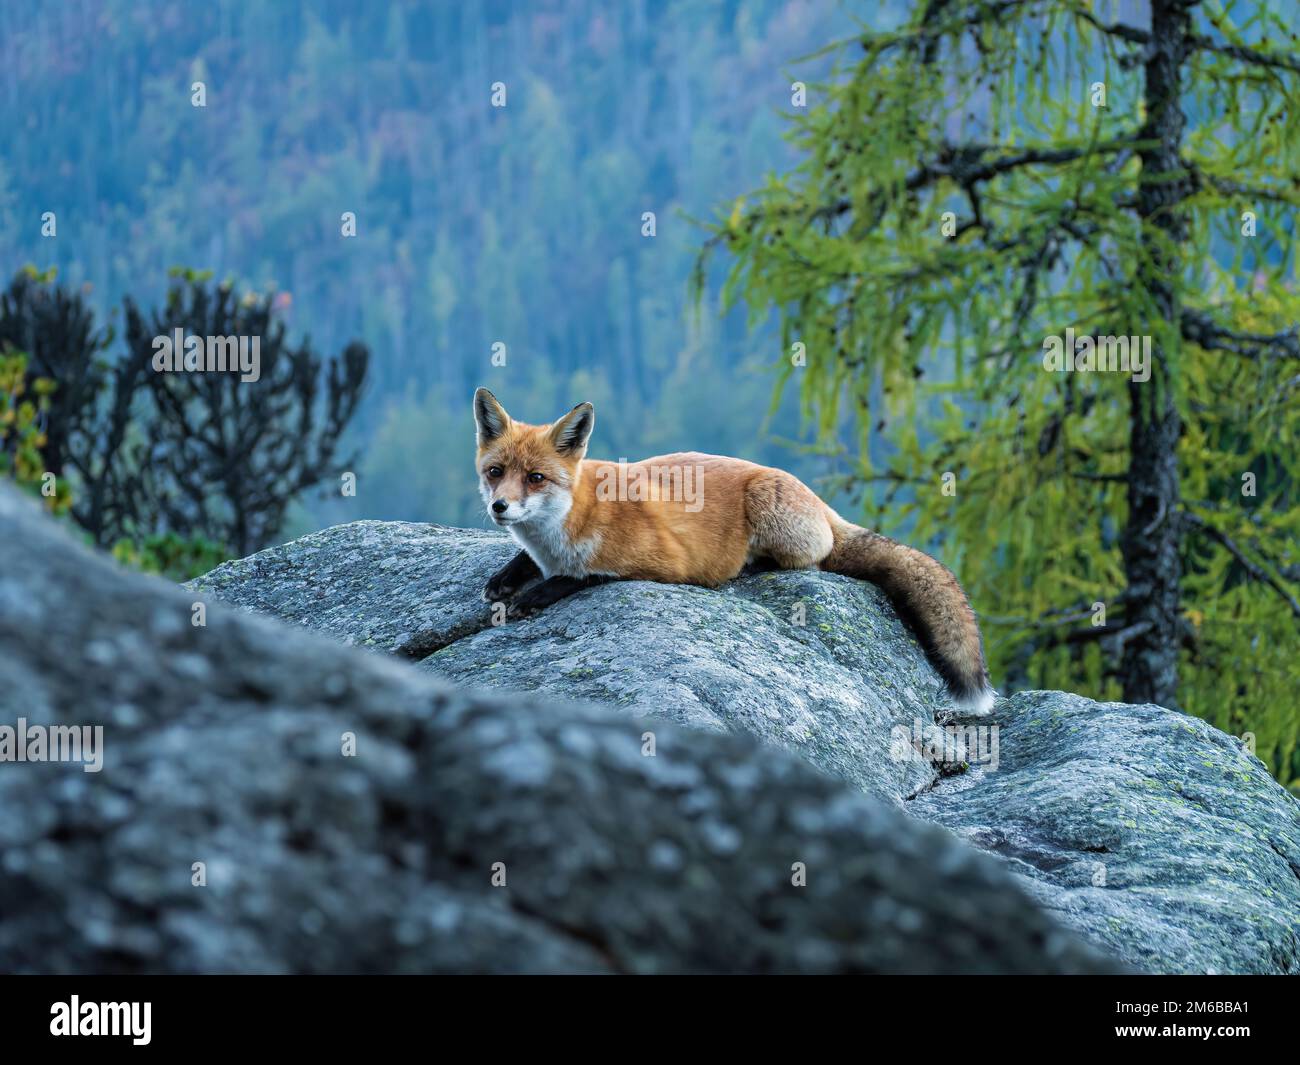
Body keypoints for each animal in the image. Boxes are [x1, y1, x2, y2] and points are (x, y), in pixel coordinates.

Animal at [478, 387, 993, 712]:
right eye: (495, 472)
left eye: (536, 478)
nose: (499, 507)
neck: (564, 527)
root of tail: (819, 501)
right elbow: (525, 563)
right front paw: (506, 577)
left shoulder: (662, 562)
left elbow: (581, 575)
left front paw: (536, 594)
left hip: (770, 510)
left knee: (814, 559)